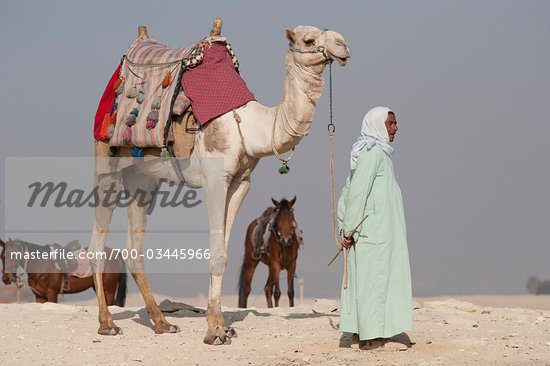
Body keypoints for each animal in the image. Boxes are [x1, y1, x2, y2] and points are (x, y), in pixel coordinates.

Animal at [89, 24, 352, 344]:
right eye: (309, 39)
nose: (343, 45)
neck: (251, 127)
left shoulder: (240, 183)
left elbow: (224, 253)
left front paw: (223, 326)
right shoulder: (215, 179)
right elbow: (215, 252)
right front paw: (214, 330)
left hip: (142, 177)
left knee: (133, 247)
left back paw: (163, 323)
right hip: (107, 162)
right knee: (97, 244)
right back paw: (107, 323)